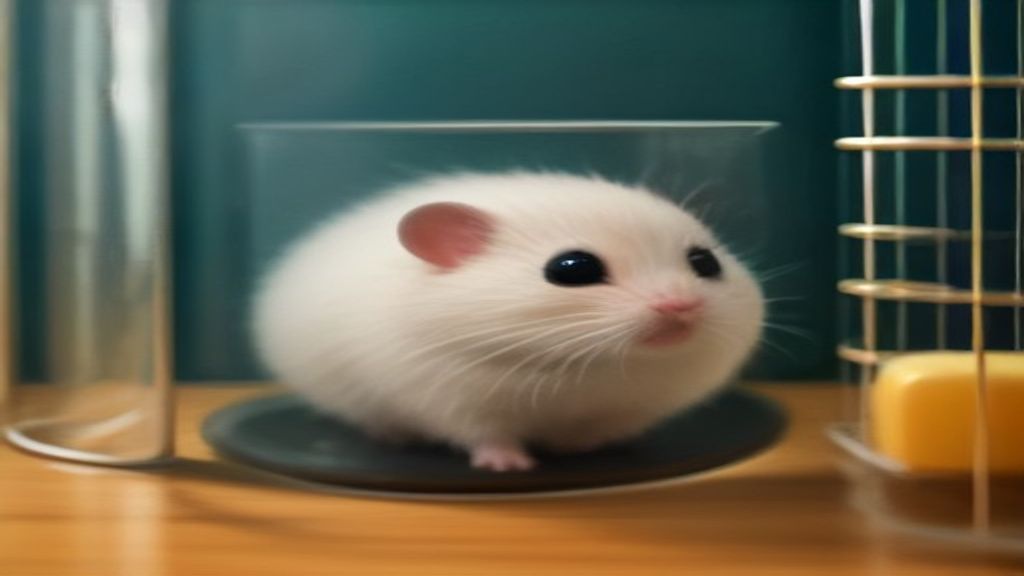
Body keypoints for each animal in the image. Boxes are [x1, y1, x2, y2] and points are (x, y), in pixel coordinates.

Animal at [253, 172, 764, 472]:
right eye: (572, 269)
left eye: (705, 262)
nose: (682, 307)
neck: (584, 366)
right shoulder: (452, 400)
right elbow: (488, 435)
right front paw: (512, 467)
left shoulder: (634, 406)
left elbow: (597, 432)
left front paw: (577, 451)